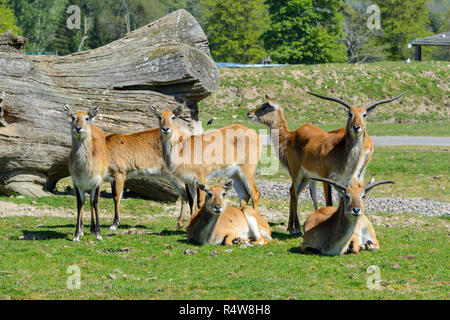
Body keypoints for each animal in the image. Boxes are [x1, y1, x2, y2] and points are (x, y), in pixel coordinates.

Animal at [63, 105, 109, 242]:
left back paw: (93, 229)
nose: (78, 128)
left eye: (87, 118)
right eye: (73, 117)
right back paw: (83, 229)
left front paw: (99, 234)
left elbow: (95, 203)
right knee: (84, 202)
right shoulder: (77, 184)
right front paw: (76, 235)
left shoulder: (97, 182)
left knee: (91, 202)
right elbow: (79, 204)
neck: (85, 169)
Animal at [248, 91, 406, 234]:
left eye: (364, 114)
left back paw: (294, 227)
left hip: (305, 175)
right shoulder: (325, 178)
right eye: (350, 113)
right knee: (294, 191)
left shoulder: (342, 181)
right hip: (299, 173)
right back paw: (295, 228)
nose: (249, 113)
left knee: (294, 192)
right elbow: (327, 200)